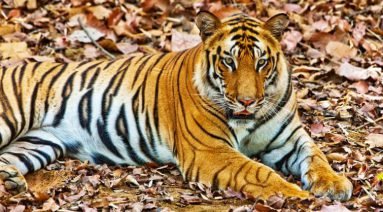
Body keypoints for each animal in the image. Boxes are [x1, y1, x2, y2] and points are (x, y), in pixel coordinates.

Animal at [0, 11, 354, 200]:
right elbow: (259, 172)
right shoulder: (211, 151)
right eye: (229, 62)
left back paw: (11, 180)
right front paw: (298, 196)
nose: (247, 100)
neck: (249, 120)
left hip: (39, 143)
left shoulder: (289, 138)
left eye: (261, 62)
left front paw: (334, 184)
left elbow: (317, 155)